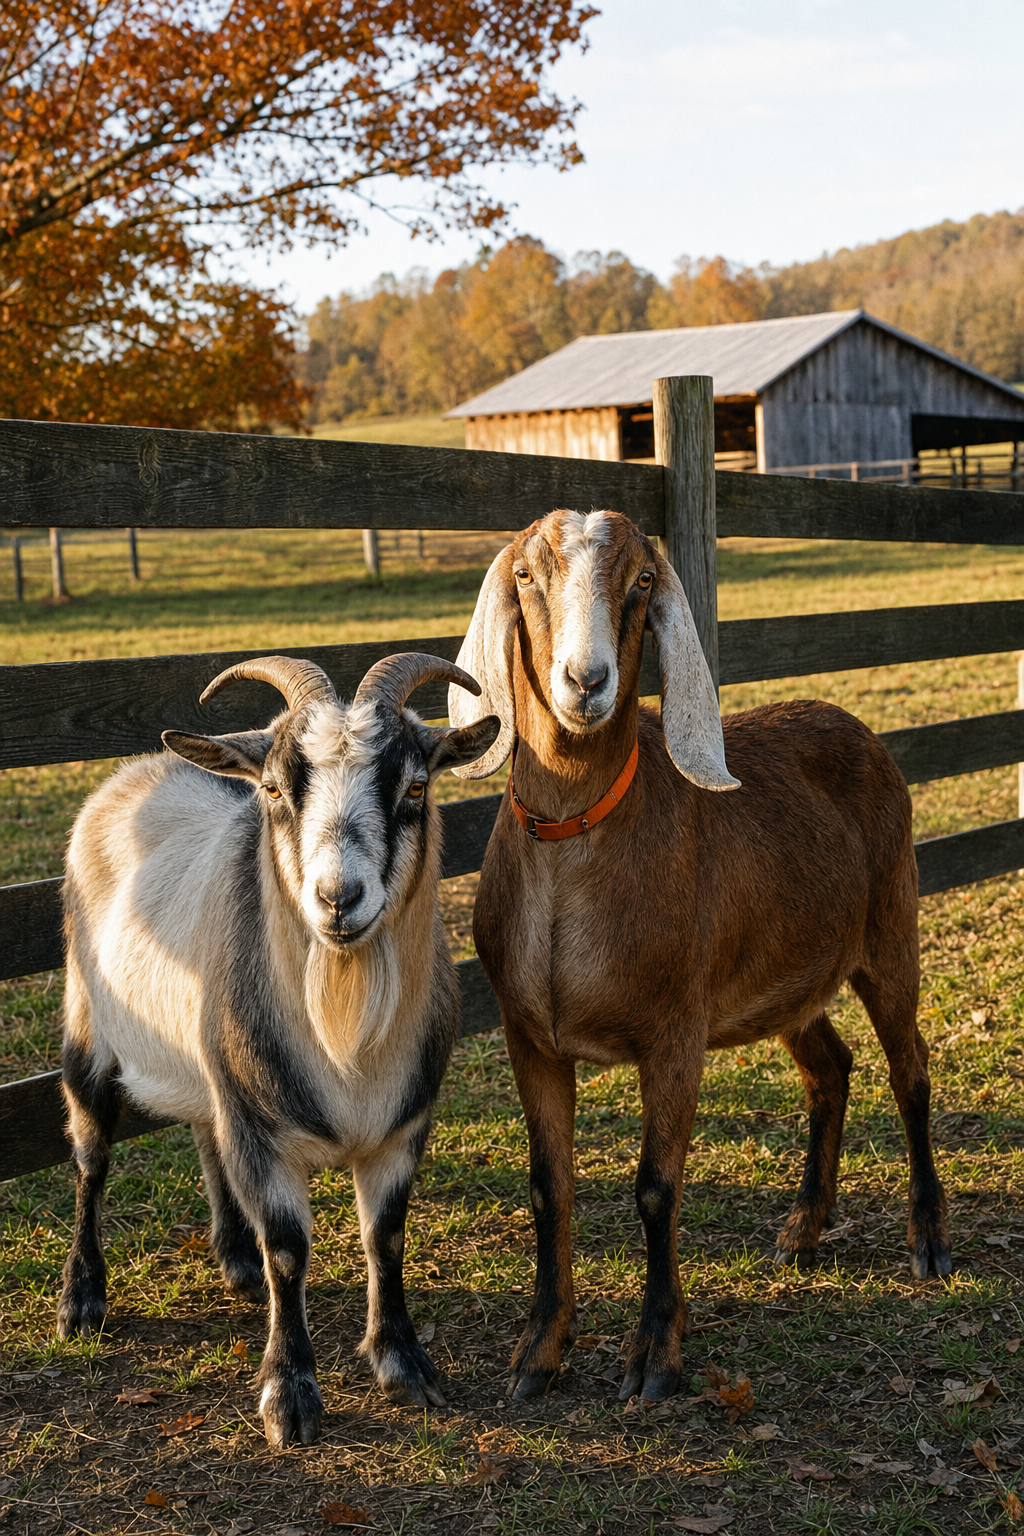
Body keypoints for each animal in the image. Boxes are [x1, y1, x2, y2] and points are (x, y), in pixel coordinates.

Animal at [57, 652, 499, 1446]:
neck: (344, 1042)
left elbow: (385, 1235)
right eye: (271, 789)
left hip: (207, 1063)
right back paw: (82, 1299)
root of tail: (134, 773)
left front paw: (403, 1362)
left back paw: (233, 1253)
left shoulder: (402, 1126)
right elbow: (289, 1251)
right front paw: (288, 1396)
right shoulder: (261, 1134)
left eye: (416, 787)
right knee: (91, 1159)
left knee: (204, 1130)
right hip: (86, 1026)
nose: (338, 899)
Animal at [449, 509, 950, 1404]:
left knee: (910, 1070)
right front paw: (539, 1349)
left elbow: (657, 1189)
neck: (574, 843)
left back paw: (927, 1236)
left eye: (643, 580)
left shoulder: (674, 1031)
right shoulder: (528, 1036)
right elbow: (549, 1187)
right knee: (831, 1068)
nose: (586, 681)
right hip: (784, 977)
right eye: (527, 576)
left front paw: (655, 1352)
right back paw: (803, 1226)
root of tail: (854, 721)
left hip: (891, 929)